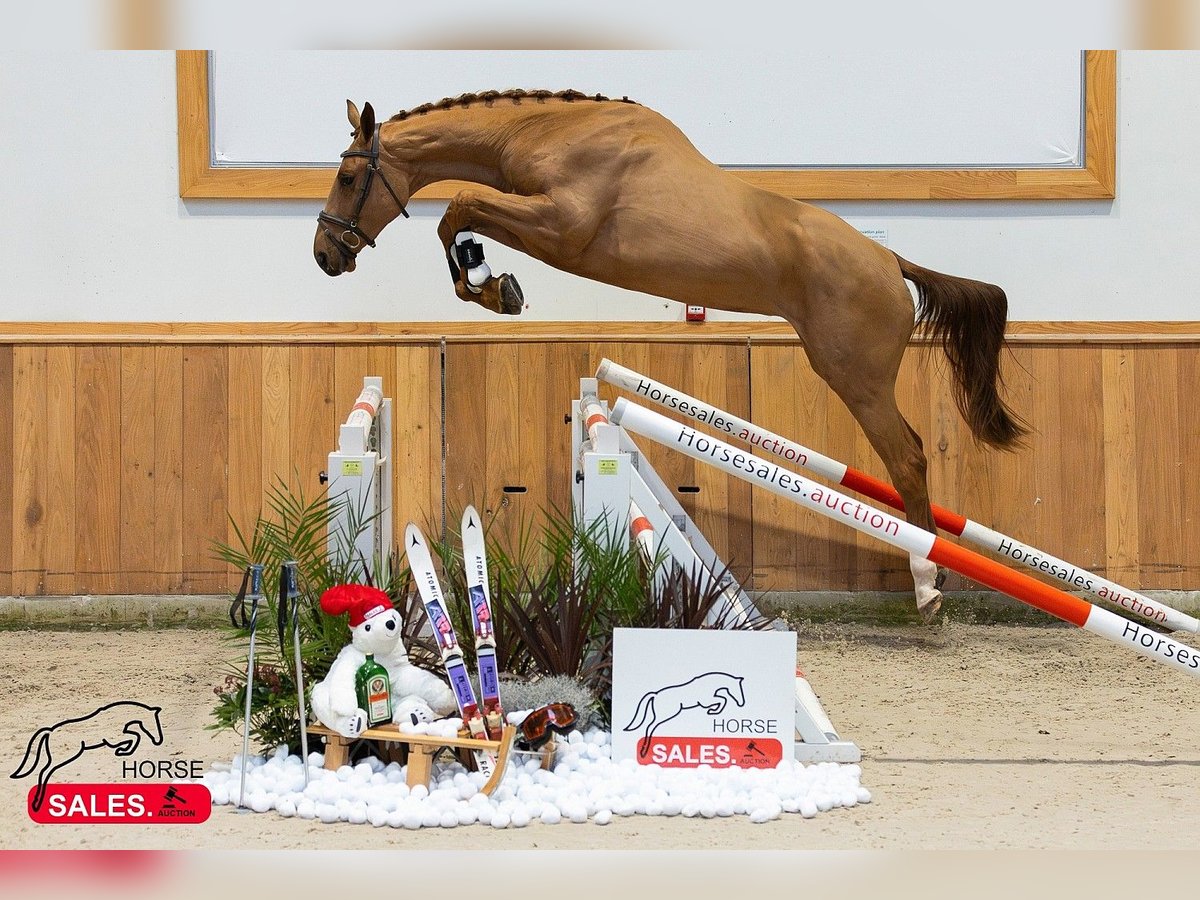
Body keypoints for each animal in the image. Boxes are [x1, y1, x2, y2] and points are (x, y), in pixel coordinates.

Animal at [314, 91, 1027, 619]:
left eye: (348, 177)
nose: (324, 255)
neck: (545, 131)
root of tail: (890, 261)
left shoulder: (560, 224)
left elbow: (459, 206)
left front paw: (490, 286)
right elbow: (460, 214)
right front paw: (492, 283)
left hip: (857, 376)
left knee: (908, 457)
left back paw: (928, 587)